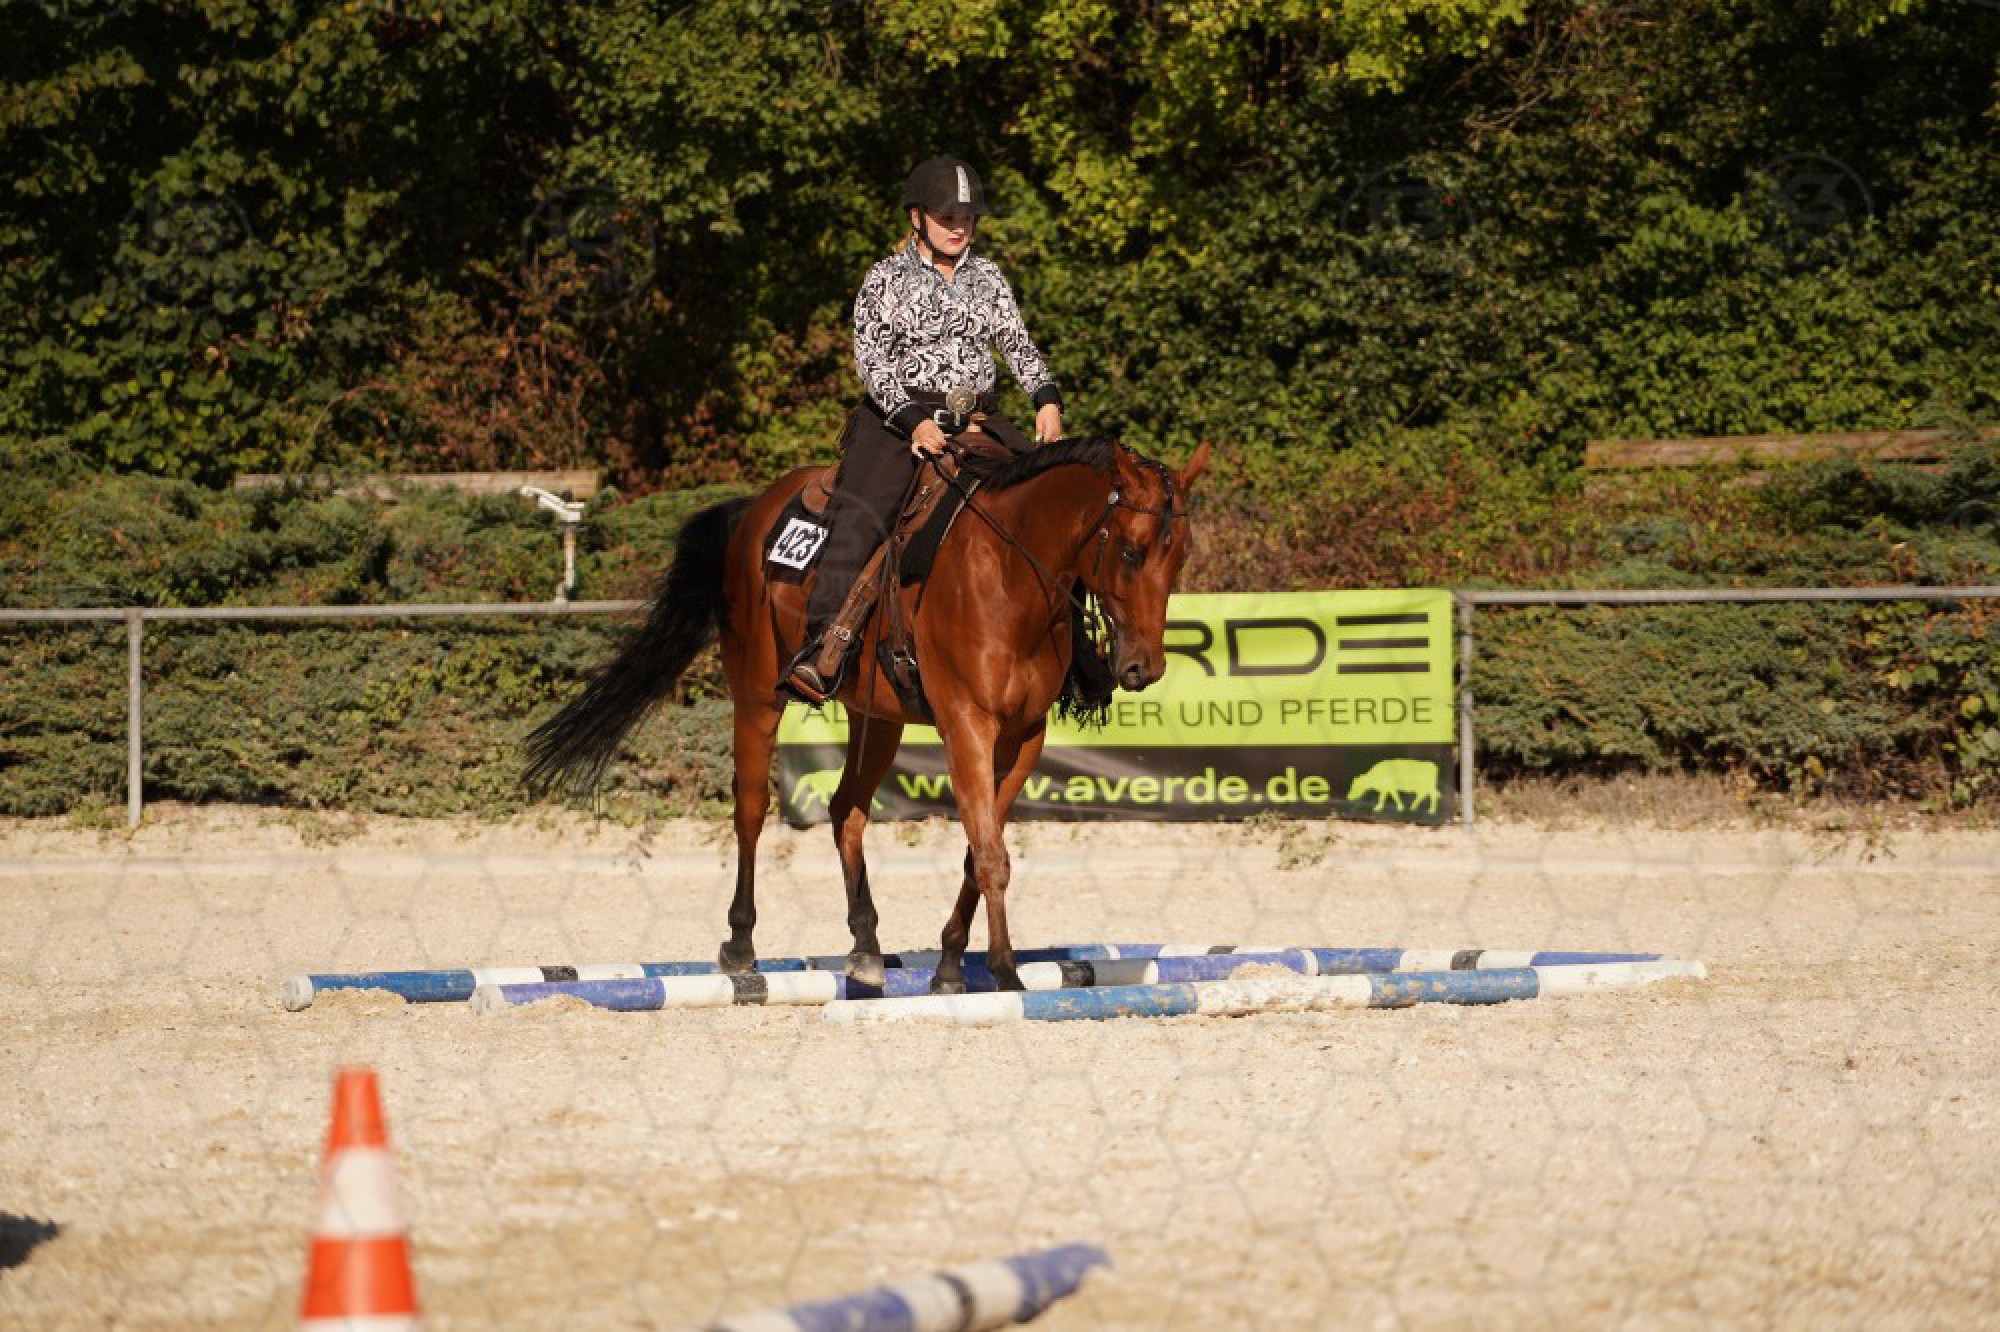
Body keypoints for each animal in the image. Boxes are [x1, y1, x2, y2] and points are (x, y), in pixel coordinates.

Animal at [523, 435, 1210, 993]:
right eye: (1130, 550)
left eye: (1179, 554)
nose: (1143, 668)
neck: (1008, 572)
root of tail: (754, 509)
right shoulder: (968, 724)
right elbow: (989, 852)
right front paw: (1006, 971)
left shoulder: (1024, 737)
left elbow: (979, 847)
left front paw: (951, 965)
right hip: (757, 692)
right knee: (751, 809)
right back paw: (741, 944)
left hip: (879, 717)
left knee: (845, 809)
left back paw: (866, 945)